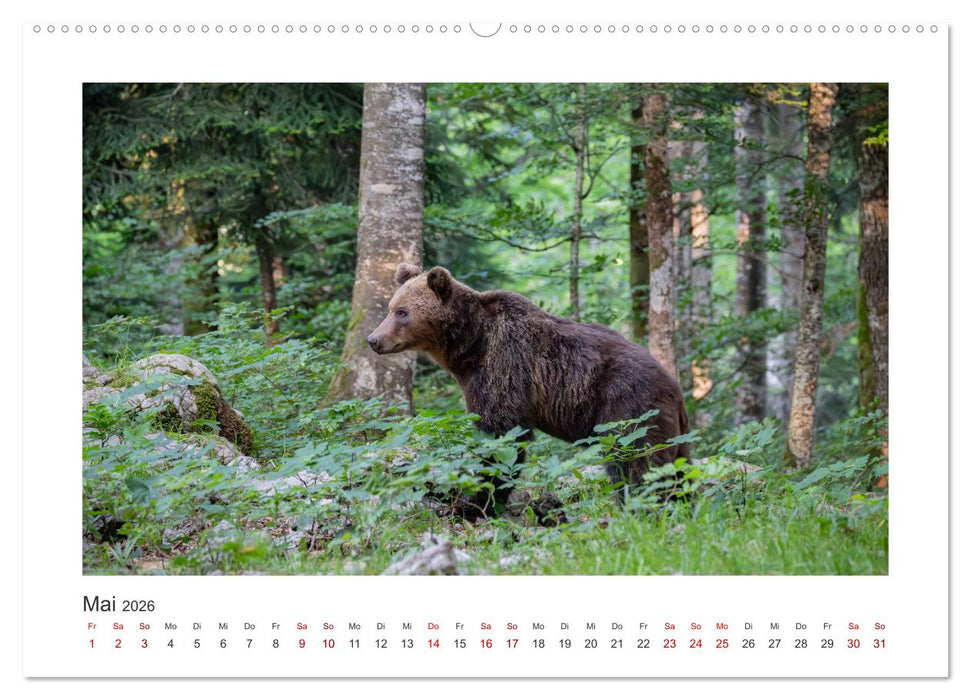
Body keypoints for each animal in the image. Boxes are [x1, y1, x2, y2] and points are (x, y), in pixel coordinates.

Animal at [366, 263, 691, 520]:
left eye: (402, 312)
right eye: (391, 308)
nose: (373, 339)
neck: (468, 346)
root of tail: (674, 389)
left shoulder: (504, 363)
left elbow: (501, 435)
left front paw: (470, 505)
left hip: (627, 406)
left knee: (635, 460)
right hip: (673, 432)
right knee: (677, 470)